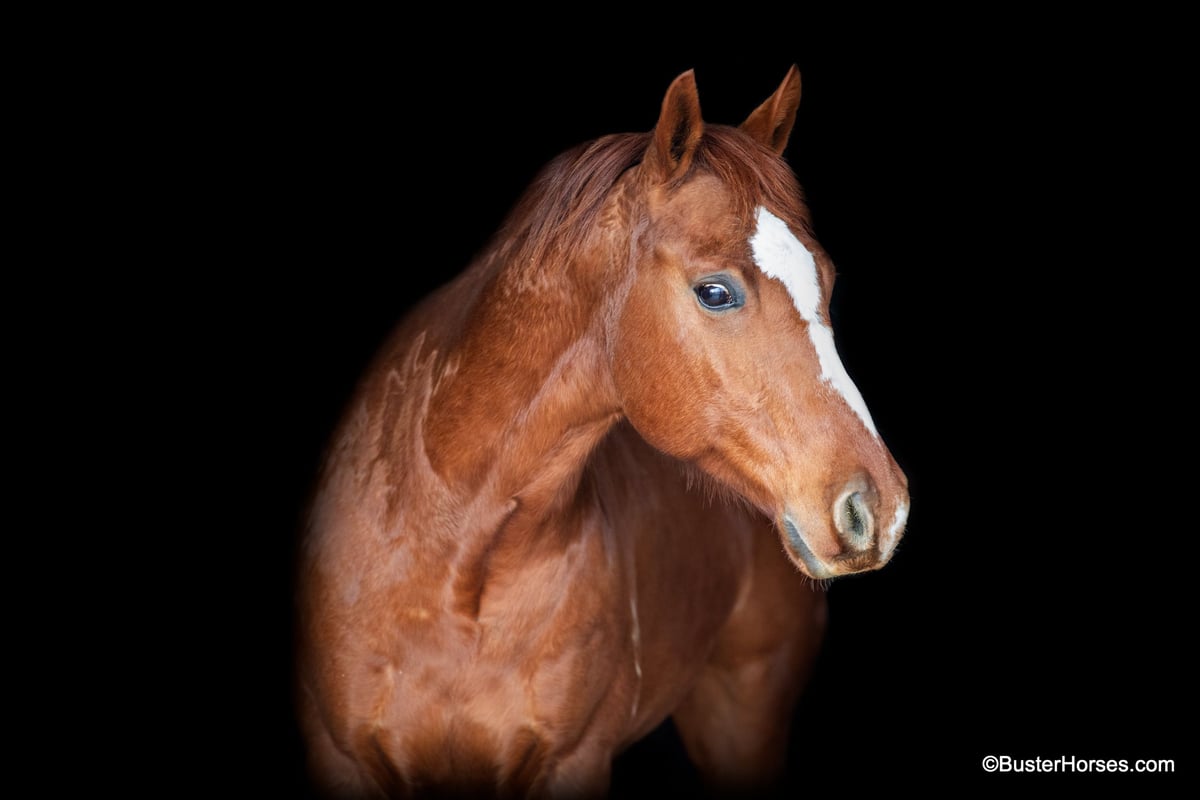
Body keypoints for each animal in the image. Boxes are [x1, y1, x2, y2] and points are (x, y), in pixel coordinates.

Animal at [296, 66, 909, 798]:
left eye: (829, 281)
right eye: (716, 292)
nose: (879, 508)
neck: (447, 548)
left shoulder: (573, 761)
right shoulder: (342, 758)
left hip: (743, 719)